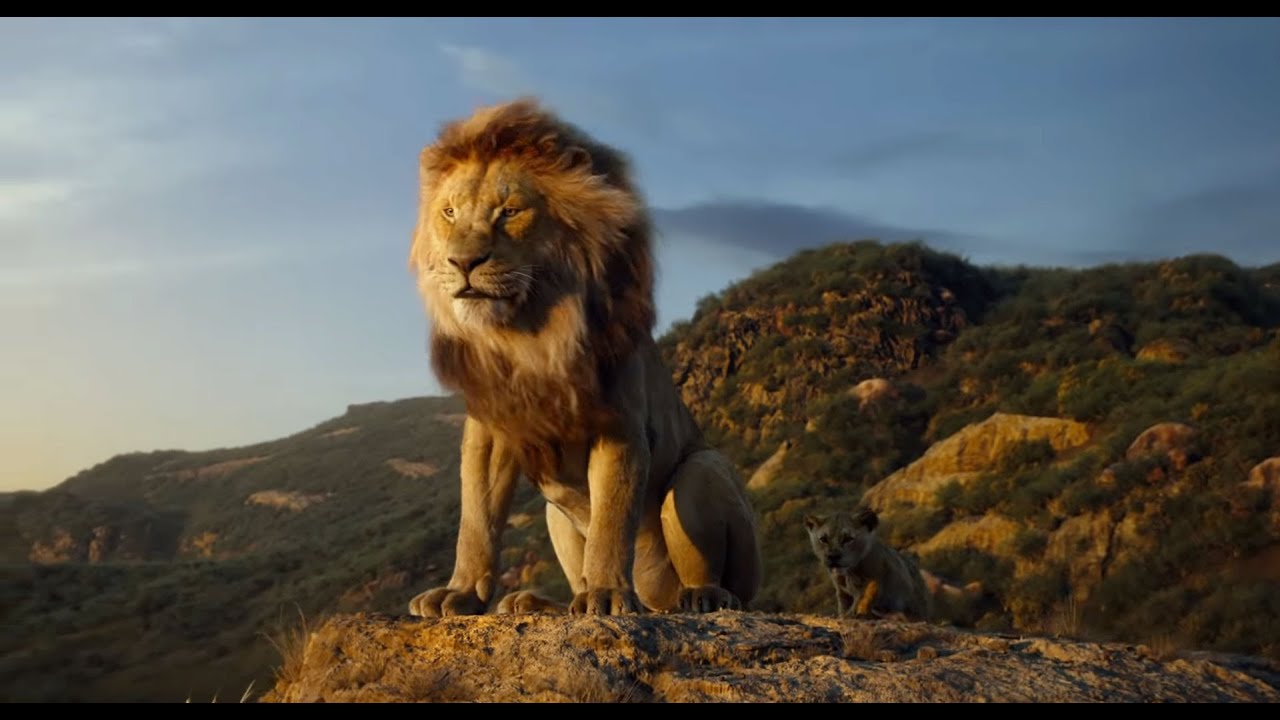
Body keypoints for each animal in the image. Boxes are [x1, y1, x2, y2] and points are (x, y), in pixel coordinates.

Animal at [404, 98, 762, 617]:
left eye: (510, 212)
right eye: (449, 212)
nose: (462, 263)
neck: (527, 334)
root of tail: (655, 601)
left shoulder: (620, 425)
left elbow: (612, 519)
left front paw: (607, 594)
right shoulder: (490, 430)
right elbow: (476, 520)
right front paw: (462, 592)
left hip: (703, 471)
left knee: (724, 582)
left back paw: (703, 596)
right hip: (555, 512)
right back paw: (537, 603)